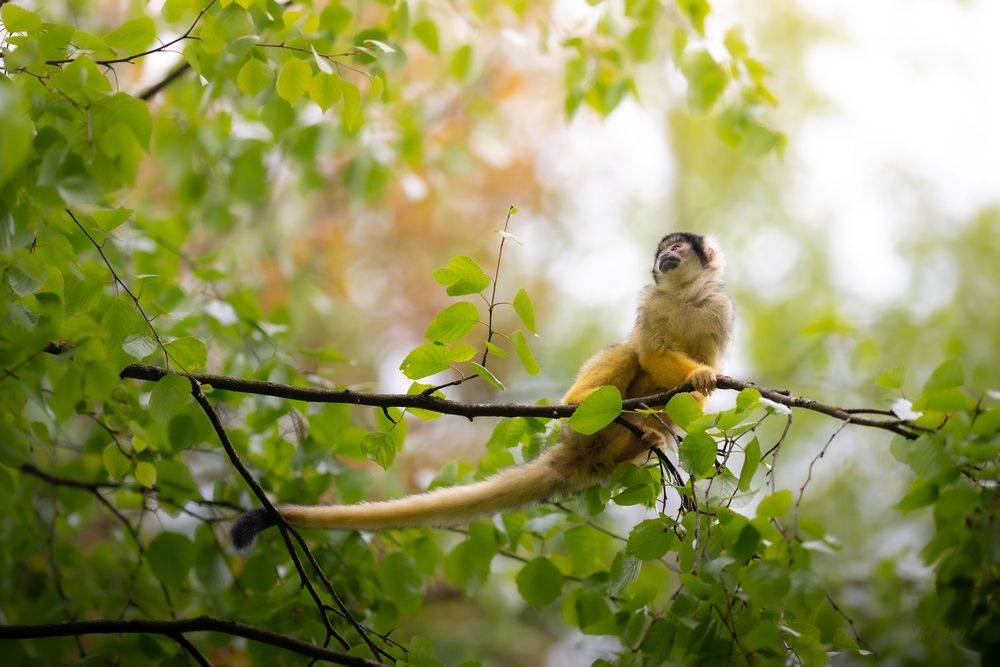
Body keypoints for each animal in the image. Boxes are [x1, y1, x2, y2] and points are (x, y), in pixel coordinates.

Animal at [231, 232, 732, 549]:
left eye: (676, 248)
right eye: (664, 251)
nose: (664, 257)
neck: (682, 295)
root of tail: (582, 456)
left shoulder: (719, 307)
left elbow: (702, 375)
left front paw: (702, 379)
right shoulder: (651, 300)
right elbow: (651, 351)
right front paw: (695, 375)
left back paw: (651, 433)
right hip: (587, 424)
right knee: (627, 352)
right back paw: (580, 404)